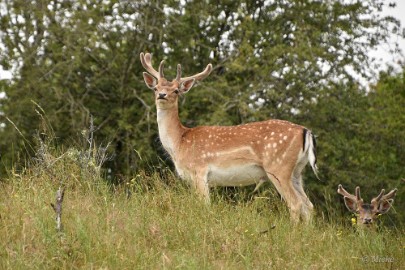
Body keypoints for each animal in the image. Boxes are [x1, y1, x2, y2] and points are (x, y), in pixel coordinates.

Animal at [141, 51, 318, 223]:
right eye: (155, 88)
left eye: (176, 91)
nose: (162, 95)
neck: (179, 142)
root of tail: (306, 131)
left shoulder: (200, 170)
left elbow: (204, 206)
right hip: (296, 171)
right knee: (308, 204)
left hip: (278, 167)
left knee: (295, 204)